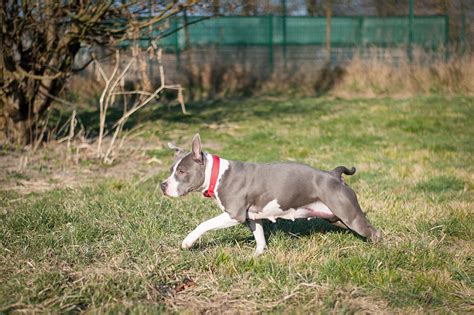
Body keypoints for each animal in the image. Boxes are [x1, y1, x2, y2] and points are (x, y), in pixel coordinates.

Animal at [160, 135, 382, 256]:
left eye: (181, 172)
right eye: (171, 169)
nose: (163, 185)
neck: (216, 174)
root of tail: (333, 174)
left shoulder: (234, 215)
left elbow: (204, 224)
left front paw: (188, 241)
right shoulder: (252, 216)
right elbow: (259, 237)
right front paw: (256, 256)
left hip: (350, 216)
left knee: (374, 232)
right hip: (335, 217)